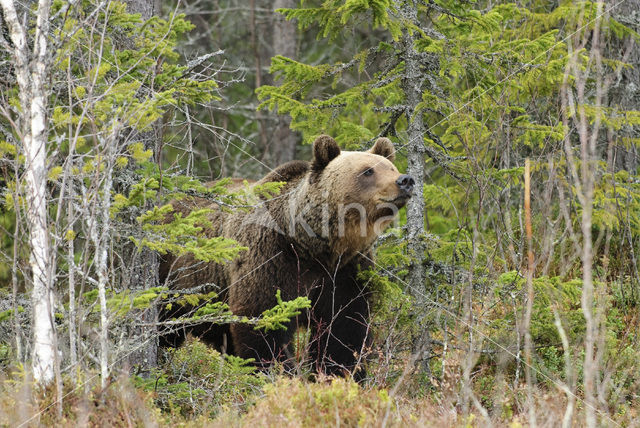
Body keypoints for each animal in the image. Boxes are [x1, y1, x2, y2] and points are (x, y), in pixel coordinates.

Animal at [160, 135, 416, 380]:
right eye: (368, 171)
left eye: (391, 167)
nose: (405, 180)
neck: (313, 246)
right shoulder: (273, 258)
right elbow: (264, 321)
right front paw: (279, 373)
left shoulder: (346, 271)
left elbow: (345, 328)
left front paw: (340, 374)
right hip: (176, 277)